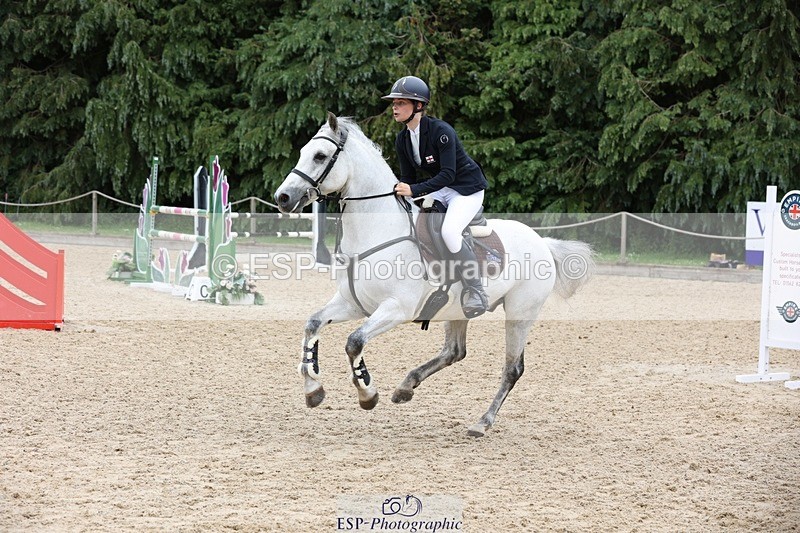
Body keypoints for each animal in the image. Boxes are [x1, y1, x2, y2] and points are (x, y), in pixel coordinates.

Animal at [274, 113, 594, 437]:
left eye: (320, 156)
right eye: (303, 152)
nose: (283, 197)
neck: (377, 231)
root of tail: (542, 241)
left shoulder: (396, 309)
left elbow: (354, 342)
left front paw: (367, 393)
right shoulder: (352, 304)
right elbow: (313, 324)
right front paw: (313, 388)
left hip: (520, 314)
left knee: (512, 368)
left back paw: (482, 422)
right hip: (458, 310)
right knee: (454, 351)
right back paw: (406, 387)